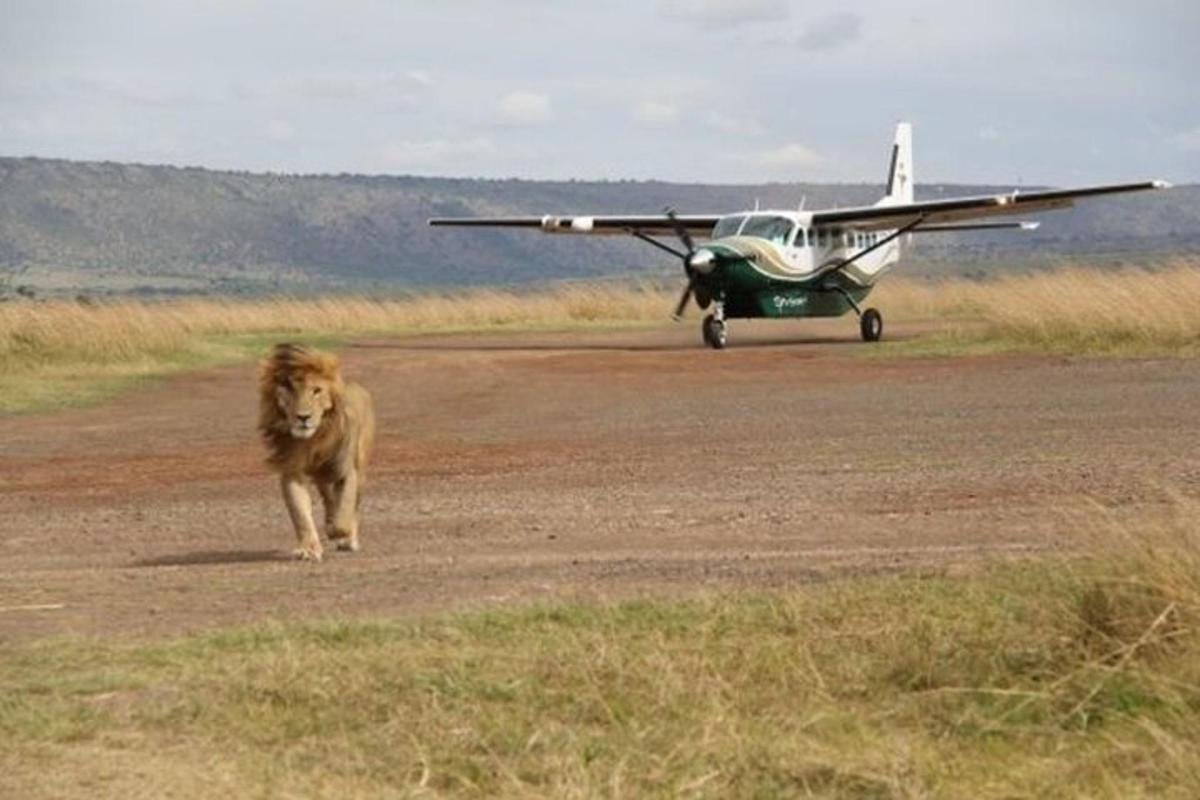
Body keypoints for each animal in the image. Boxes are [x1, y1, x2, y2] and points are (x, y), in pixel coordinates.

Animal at [258, 345, 374, 563]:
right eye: (290, 389)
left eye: (316, 391)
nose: (303, 417)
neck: (314, 440)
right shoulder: (291, 471)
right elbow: (300, 514)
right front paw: (309, 549)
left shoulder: (346, 470)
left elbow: (345, 510)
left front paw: (340, 533)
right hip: (323, 479)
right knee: (328, 498)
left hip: (360, 468)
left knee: (353, 505)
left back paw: (348, 538)